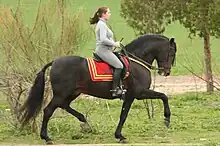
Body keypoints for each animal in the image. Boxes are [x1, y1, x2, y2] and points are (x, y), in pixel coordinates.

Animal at [18, 34, 177, 144]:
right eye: (171, 52)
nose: (166, 71)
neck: (136, 61)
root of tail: (55, 61)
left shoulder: (132, 96)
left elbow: (125, 114)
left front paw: (118, 135)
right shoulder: (137, 93)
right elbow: (162, 97)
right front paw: (167, 119)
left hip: (73, 93)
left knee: (64, 106)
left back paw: (84, 122)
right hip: (61, 94)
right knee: (48, 110)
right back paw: (47, 138)